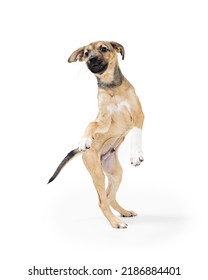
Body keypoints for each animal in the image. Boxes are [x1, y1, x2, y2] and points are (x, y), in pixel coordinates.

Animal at [47, 40, 144, 228]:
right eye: (86, 53)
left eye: (104, 48)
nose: (91, 60)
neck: (112, 87)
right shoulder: (104, 120)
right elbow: (91, 123)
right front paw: (84, 139)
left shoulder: (138, 114)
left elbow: (136, 133)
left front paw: (136, 154)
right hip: (97, 173)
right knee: (102, 201)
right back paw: (116, 223)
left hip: (115, 173)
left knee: (109, 197)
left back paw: (124, 213)